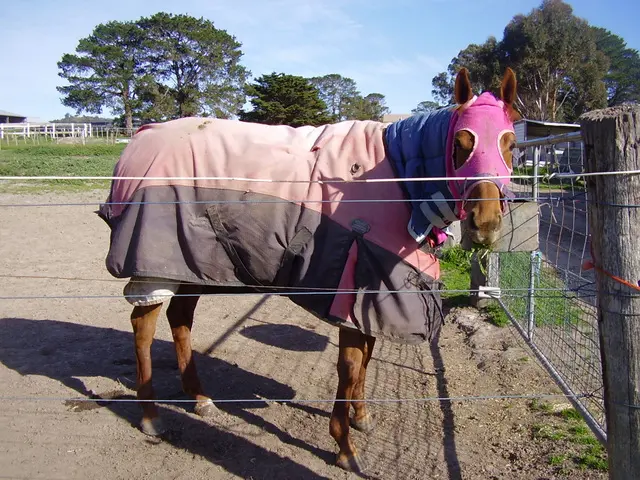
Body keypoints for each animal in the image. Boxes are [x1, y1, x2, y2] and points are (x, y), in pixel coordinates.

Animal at [98, 67, 520, 473]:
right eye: (461, 144)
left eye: (511, 144)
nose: (485, 223)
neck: (395, 179)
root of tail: (139, 140)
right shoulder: (353, 288)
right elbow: (350, 367)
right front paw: (345, 447)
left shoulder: (371, 298)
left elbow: (367, 358)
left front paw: (361, 417)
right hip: (156, 263)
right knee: (143, 326)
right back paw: (150, 415)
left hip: (193, 263)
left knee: (180, 318)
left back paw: (200, 398)